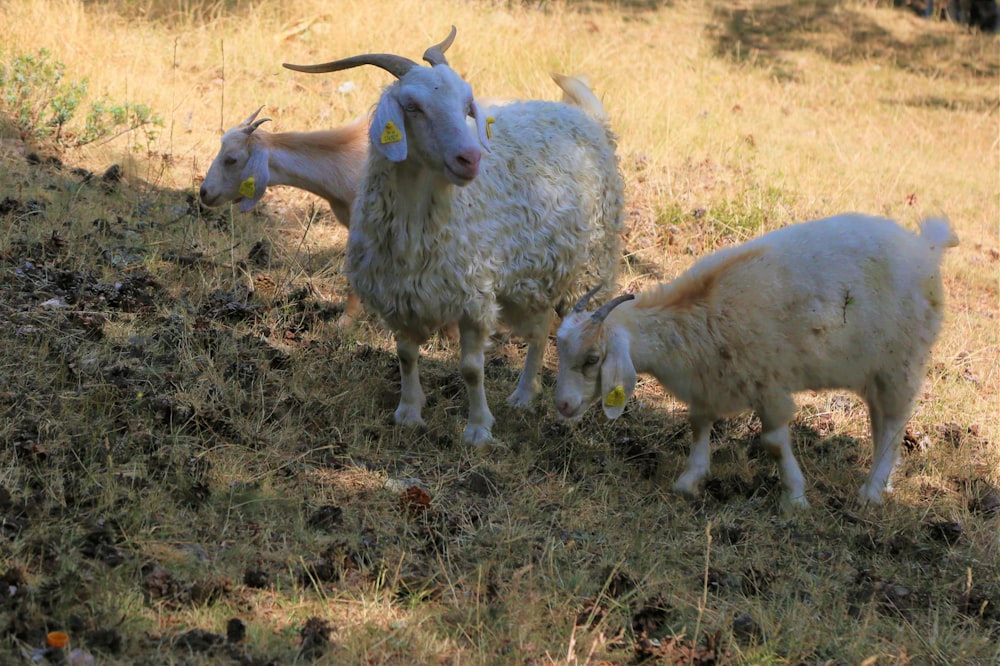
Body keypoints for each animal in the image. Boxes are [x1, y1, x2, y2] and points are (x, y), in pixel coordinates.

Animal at [284, 26, 624, 444]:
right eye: (413, 106)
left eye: (466, 104)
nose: (470, 158)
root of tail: (587, 118)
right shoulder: (399, 294)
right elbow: (406, 354)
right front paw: (408, 413)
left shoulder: (473, 297)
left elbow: (471, 369)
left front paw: (478, 429)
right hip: (534, 273)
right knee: (542, 327)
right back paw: (523, 395)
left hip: (592, 263)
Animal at [556, 213, 960, 508]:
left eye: (593, 358)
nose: (563, 405)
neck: (698, 309)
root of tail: (927, 247)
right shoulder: (707, 382)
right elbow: (698, 426)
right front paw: (689, 480)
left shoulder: (768, 384)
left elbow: (774, 443)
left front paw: (795, 497)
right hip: (876, 368)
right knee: (882, 423)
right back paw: (884, 482)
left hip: (903, 360)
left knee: (894, 424)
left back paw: (871, 492)